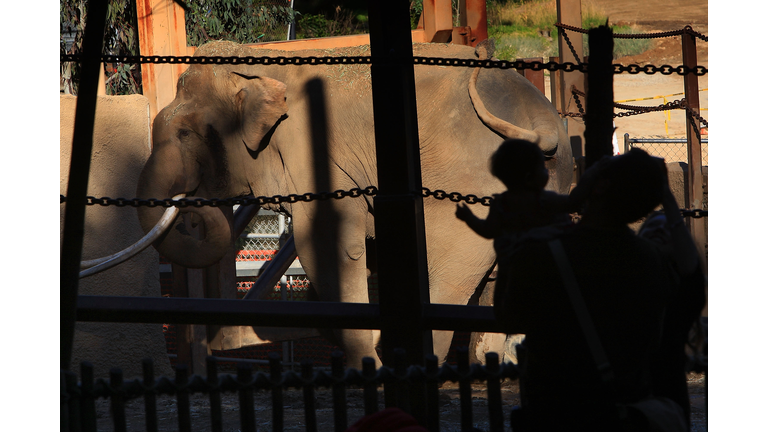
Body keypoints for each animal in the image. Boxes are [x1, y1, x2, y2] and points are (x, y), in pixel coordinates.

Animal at [136, 40, 573, 368]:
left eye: (186, 133)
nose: (191, 203)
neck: (261, 63)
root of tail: (541, 118)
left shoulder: (314, 154)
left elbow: (327, 241)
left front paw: (370, 364)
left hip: (468, 185)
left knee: (446, 277)